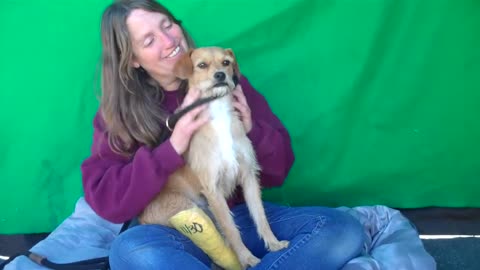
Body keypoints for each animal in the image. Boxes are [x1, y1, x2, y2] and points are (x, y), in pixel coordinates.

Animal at [139, 47, 288, 268]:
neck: (219, 114)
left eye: (226, 62)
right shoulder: (212, 189)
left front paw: (273, 243)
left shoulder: (249, 176)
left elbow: (260, 215)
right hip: (186, 206)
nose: (220, 75)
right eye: (202, 65)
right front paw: (247, 259)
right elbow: (231, 229)